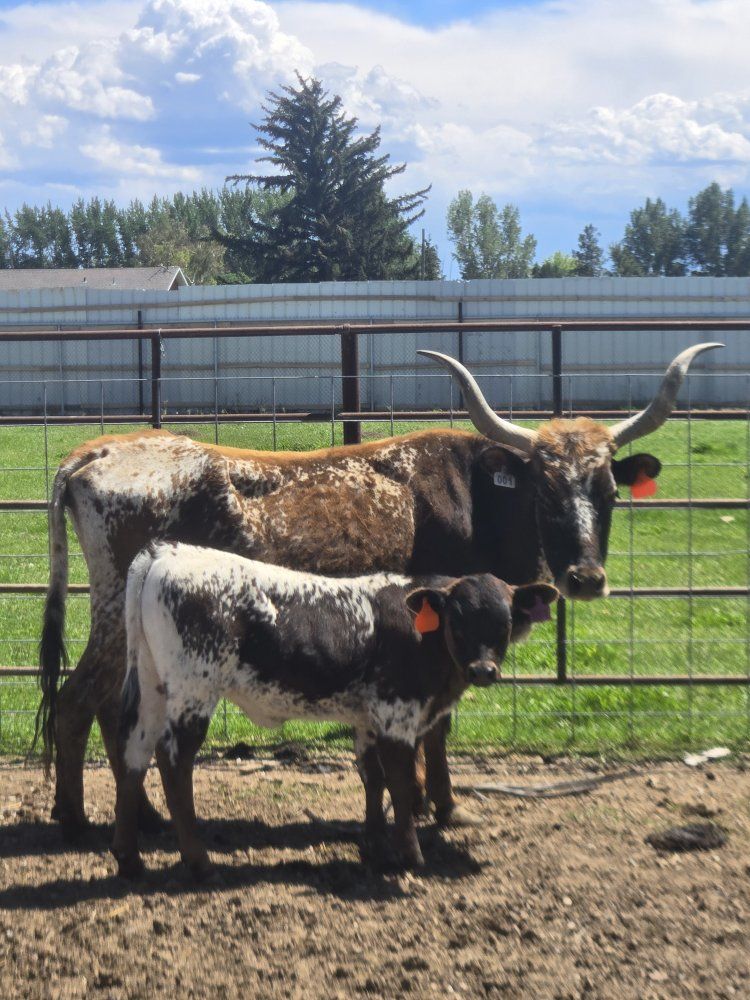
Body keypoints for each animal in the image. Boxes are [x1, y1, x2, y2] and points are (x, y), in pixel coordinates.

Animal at [37, 342, 721, 836]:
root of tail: (98, 451)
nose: (585, 578)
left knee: (108, 706)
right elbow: (436, 727)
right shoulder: (442, 631)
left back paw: (139, 815)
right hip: (114, 614)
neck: (476, 495)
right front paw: (437, 805)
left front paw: (417, 801)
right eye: (546, 492)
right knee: (79, 702)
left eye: (607, 493)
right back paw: (74, 819)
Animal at [111, 541, 558, 878]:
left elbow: (372, 777)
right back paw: (199, 861)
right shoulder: (397, 712)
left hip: (153, 685)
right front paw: (409, 854)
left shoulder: (367, 719)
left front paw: (376, 845)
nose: (483, 670)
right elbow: (399, 781)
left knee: (134, 753)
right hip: (194, 689)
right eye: (458, 622)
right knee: (174, 761)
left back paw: (130, 859)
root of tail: (167, 552)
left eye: (504, 623)